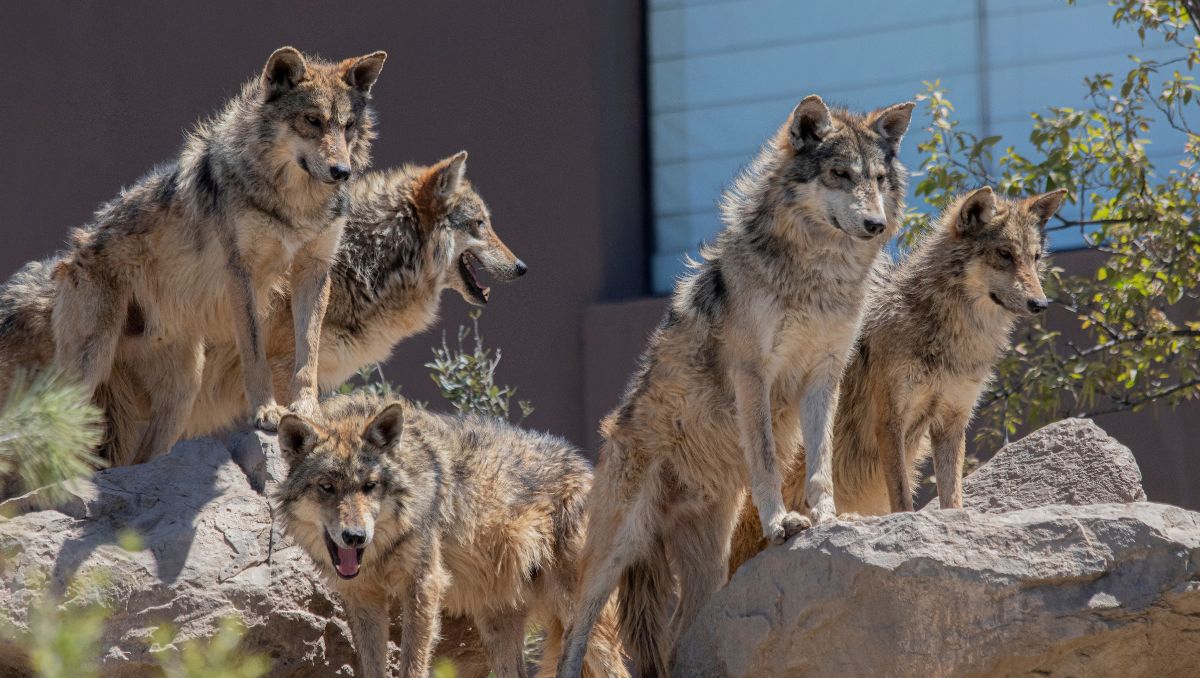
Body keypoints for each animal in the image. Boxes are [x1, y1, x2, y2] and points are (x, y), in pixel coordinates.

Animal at [49, 46, 386, 466]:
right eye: (312, 121)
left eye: (348, 126)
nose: (342, 171)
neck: (296, 204)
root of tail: (71, 255)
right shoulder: (241, 273)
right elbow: (255, 355)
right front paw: (266, 411)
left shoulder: (313, 270)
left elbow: (308, 352)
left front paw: (308, 410)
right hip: (88, 373)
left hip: (182, 394)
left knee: (141, 458)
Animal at [276, 394, 628, 678]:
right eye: (327, 487)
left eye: (370, 486)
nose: (355, 536)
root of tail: (587, 468)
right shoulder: (364, 598)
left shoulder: (424, 586)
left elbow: (412, 665)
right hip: (498, 625)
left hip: (584, 623)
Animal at [557, 95, 914, 677]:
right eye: (839, 174)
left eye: (879, 179)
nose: (874, 223)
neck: (817, 276)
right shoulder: (754, 375)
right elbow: (767, 460)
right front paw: (780, 523)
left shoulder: (825, 374)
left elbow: (819, 462)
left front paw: (829, 518)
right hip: (616, 549)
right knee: (575, 633)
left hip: (707, 567)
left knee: (682, 640)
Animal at [727, 186, 1067, 572]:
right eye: (1004, 254)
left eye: (1035, 258)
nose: (1040, 303)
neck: (952, 336)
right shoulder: (889, 421)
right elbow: (903, 500)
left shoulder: (951, 423)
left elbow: (953, 500)